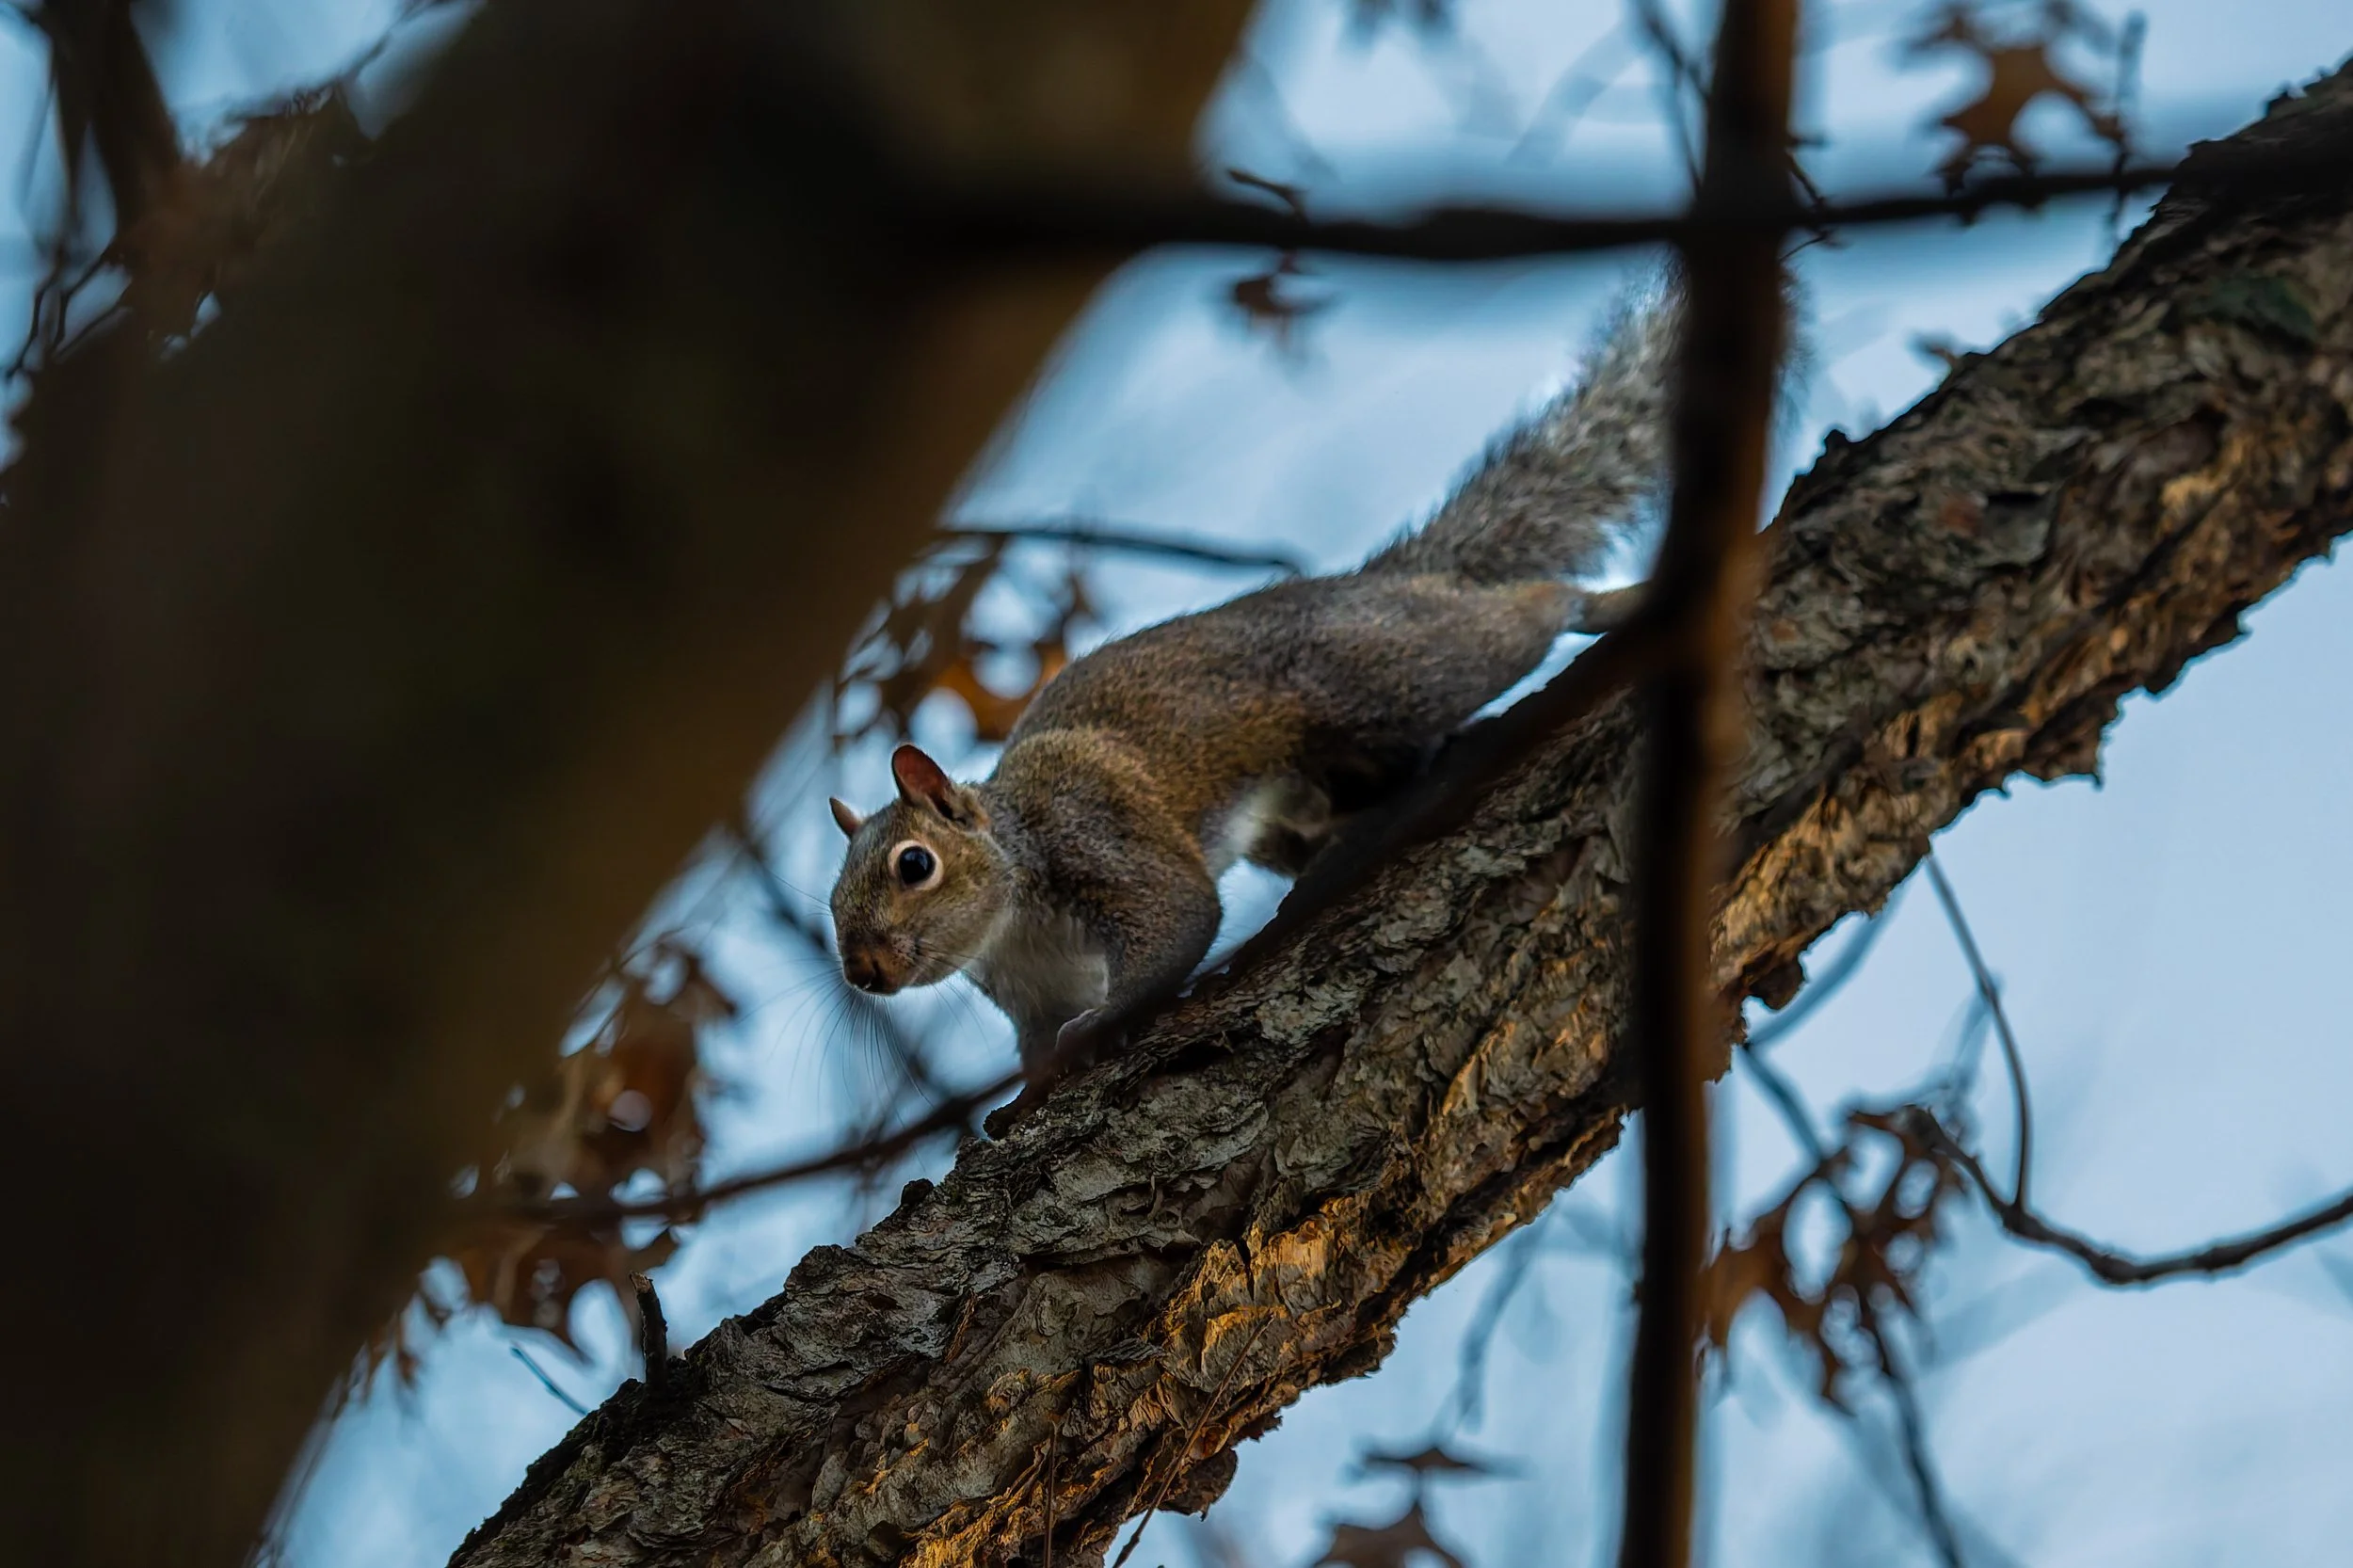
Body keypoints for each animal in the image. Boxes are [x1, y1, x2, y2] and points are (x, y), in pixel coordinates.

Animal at [828, 283, 1681, 1077]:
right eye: (834, 899)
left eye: (915, 864)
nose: (863, 970)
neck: (1012, 916)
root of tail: (1359, 586)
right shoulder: (1031, 990)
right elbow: (1038, 1045)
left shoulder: (1093, 830)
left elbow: (1177, 919)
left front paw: (1104, 1024)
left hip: (1384, 671)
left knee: (1516, 621)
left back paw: (1603, 603)